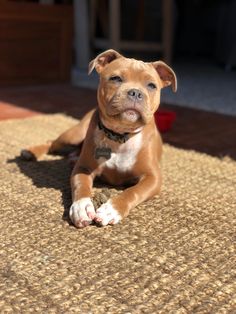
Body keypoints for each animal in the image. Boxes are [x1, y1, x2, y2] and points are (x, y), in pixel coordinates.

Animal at [21, 49, 177, 227]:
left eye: (151, 85)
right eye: (116, 78)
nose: (135, 92)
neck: (120, 136)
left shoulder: (153, 178)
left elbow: (133, 191)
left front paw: (112, 209)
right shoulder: (83, 168)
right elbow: (81, 186)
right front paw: (82, 206)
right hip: (73, 135)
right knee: (51, 143)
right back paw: (31, 152)